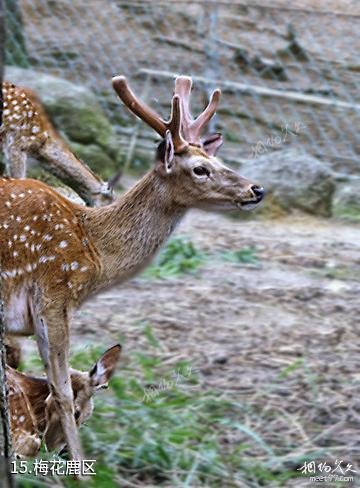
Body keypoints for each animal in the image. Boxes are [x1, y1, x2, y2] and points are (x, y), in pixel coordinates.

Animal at [0, 75, 264, 462]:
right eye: (201, 169)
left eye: (214, 158)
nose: (256, 189)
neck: (94, 254)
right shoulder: (53, 297)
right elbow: (61, 392)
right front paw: (76, 466)